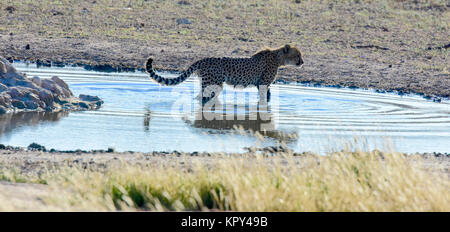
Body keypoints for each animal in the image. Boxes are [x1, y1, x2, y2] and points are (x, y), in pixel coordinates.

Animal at [146, 44, 304, 103]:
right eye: (297, 55)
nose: (302, 62)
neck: (278, 58)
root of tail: (203, 59)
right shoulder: (263, 84)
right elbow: (265, 97)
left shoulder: (262, 84)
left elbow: (268, 96)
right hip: (213, 84)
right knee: (203, 97)